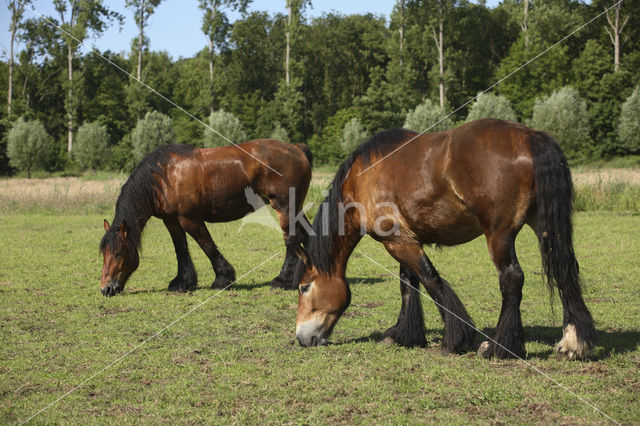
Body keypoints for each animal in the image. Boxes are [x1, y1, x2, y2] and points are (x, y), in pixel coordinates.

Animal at [98, 140, 316, 296]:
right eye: (104, 254)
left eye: (118, 253)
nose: (105, 289)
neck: (163, 178)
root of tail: (297, 149)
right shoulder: (171, 221)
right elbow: (181, 249)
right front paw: (182, 282)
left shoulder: (189, 218)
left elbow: (207, 245)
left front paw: (223, 279)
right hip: (295, 208)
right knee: (305, 236)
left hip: (284, 207)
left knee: (292, 240)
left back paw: (282, 280)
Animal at [294, 119, 596, 360]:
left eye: (304, 287)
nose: (300, 338)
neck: (362, 179)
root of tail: (529, 136)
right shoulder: (406, 239)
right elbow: (408, 283)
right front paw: (405, 334)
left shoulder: (398, 242)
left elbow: (430, 281)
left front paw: (454, 340)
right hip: (544, 226)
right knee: (564, 270)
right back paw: (573, 343)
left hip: (499, 234)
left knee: (512, 279)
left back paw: (498, 347)